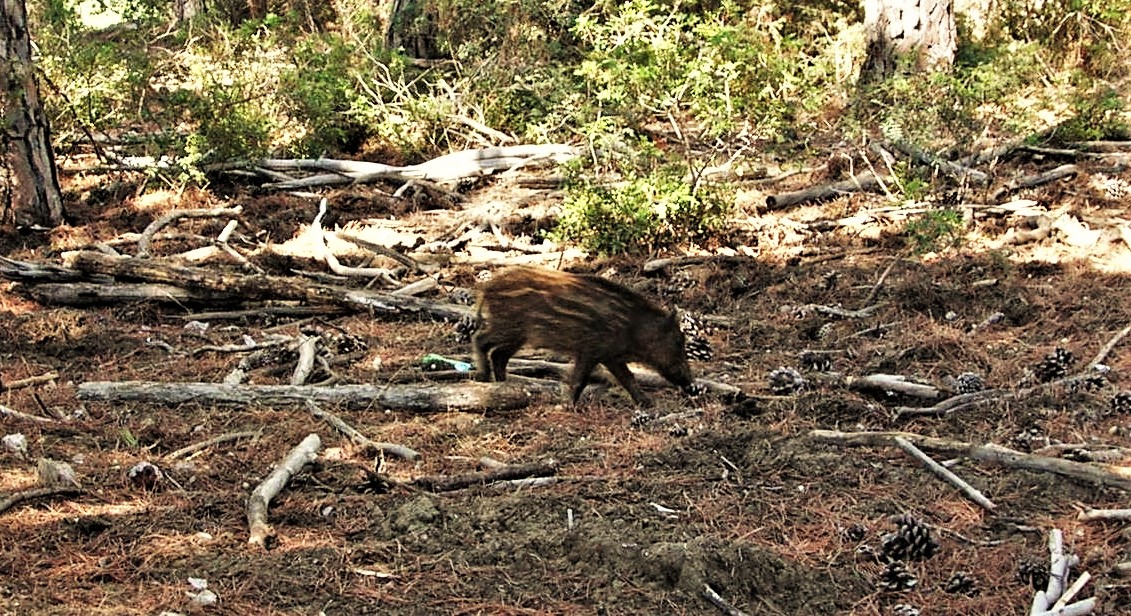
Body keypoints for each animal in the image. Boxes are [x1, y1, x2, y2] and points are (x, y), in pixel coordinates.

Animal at [472, 266, 694, 406]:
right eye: (678, 341)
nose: (691, 385)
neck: (632, 329)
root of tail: (486, 288)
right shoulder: (590, 350)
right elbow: (580, 379)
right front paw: (567, 406)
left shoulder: (610, 356)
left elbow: (628, 378)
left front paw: (648, 403)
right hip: (507, 326)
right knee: (480, 340)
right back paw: (483, 377)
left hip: (518, 336)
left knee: (499, 355)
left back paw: (503, 385)